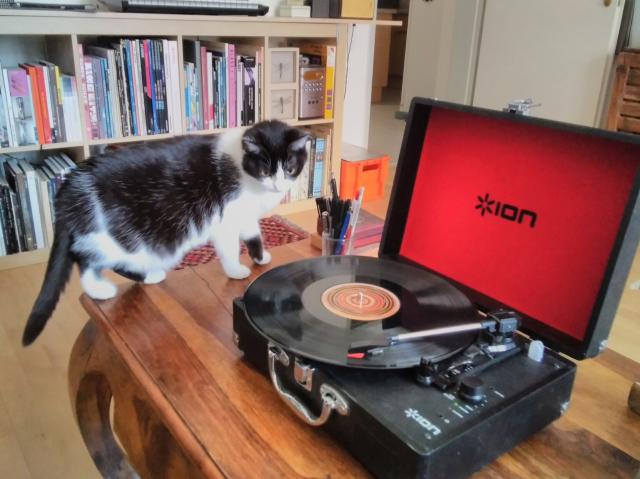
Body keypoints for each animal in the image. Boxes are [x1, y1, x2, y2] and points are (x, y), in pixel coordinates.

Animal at [26, 120, 312, 344]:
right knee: (88, 261)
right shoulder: (226, 218)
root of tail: (69, 187)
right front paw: (236, 270)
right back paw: (106, 288)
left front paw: (260, 257)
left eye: (289, 168)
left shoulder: (246, 214)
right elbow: (230, 247)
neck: (244, 171)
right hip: (120, 236)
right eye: (264, 170)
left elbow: (253, 235)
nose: (278, 185)